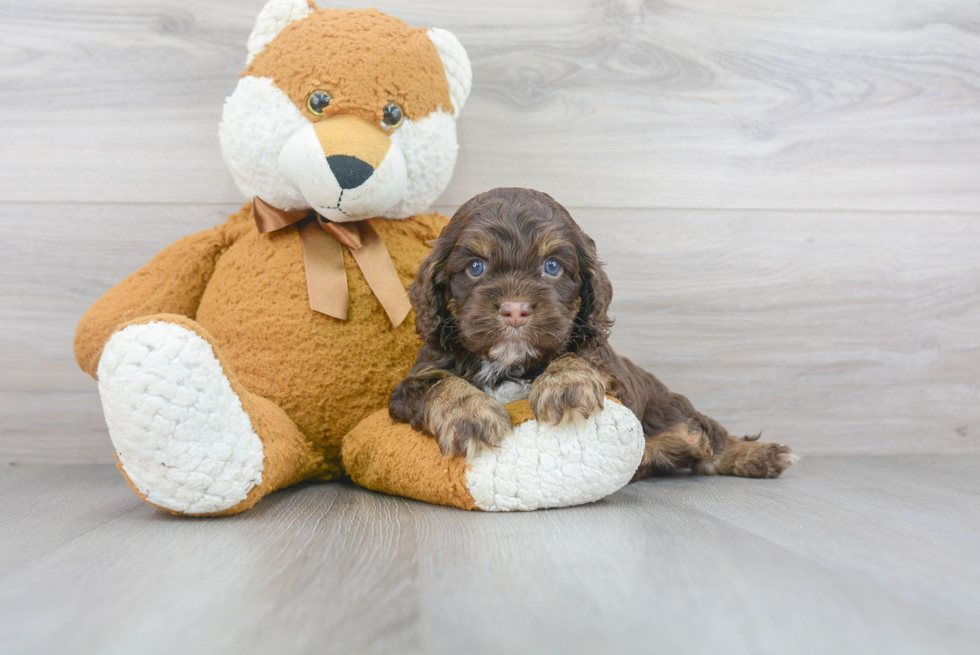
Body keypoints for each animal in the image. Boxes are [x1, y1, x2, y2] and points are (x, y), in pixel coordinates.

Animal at [390, 187, 796, 480]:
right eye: (475, 267)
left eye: (552, 266)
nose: (515, 309)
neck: (511, 364)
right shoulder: (411, 383)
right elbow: (441, 384)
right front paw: (469, 415)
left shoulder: (608, 368)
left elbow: (578, 357)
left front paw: (565, 384)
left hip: (672, 407)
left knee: (711, 436)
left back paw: (760, 455)